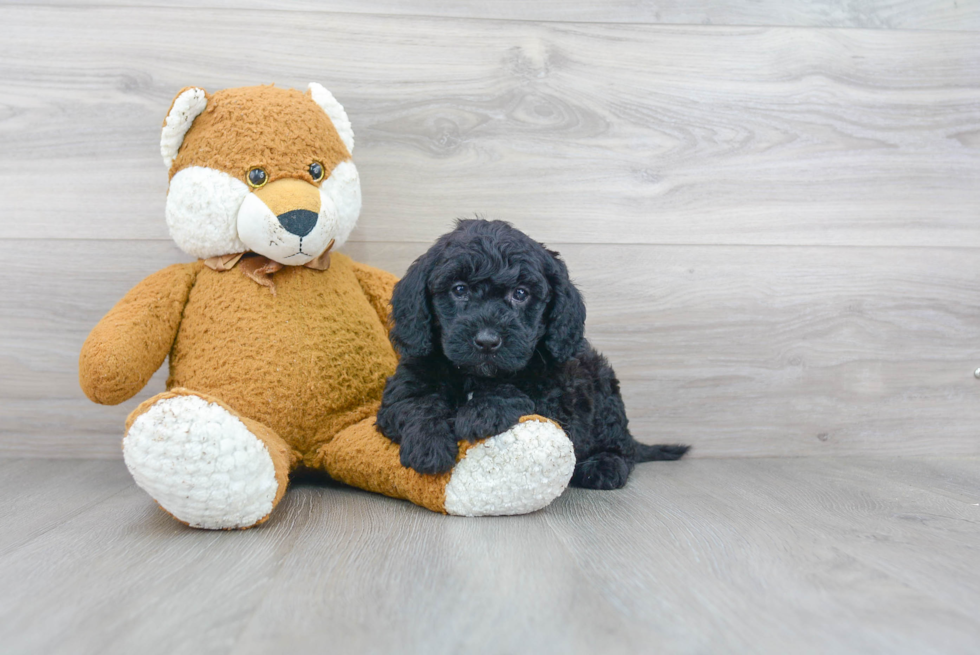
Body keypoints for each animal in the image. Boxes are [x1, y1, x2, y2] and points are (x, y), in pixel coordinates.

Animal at [376, 219, 688, 486]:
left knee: (622, 447)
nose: (487, 341)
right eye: (459, 289)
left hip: (604, 390)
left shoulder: (559, 401)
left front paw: (482, 411)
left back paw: (604, 467)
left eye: (521, 293)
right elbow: (417, 404)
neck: (476, 376)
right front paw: (428, 445)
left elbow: (522, 394)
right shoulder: (402, 389)